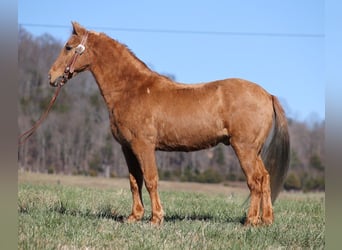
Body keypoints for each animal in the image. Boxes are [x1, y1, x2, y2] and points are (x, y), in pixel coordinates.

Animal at [48, 22, 288, 227]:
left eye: (68, 47)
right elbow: (134, 181)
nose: (51, 76)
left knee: (255, 181)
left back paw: (250, 221)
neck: (131, 89)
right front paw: (134, 216)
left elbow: (151, 180)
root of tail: (267, 95)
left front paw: (156, 219)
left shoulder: (144, 146)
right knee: (265, 178)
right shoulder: (128, 148)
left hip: (244, 148)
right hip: (254, 151)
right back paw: (266, 220)